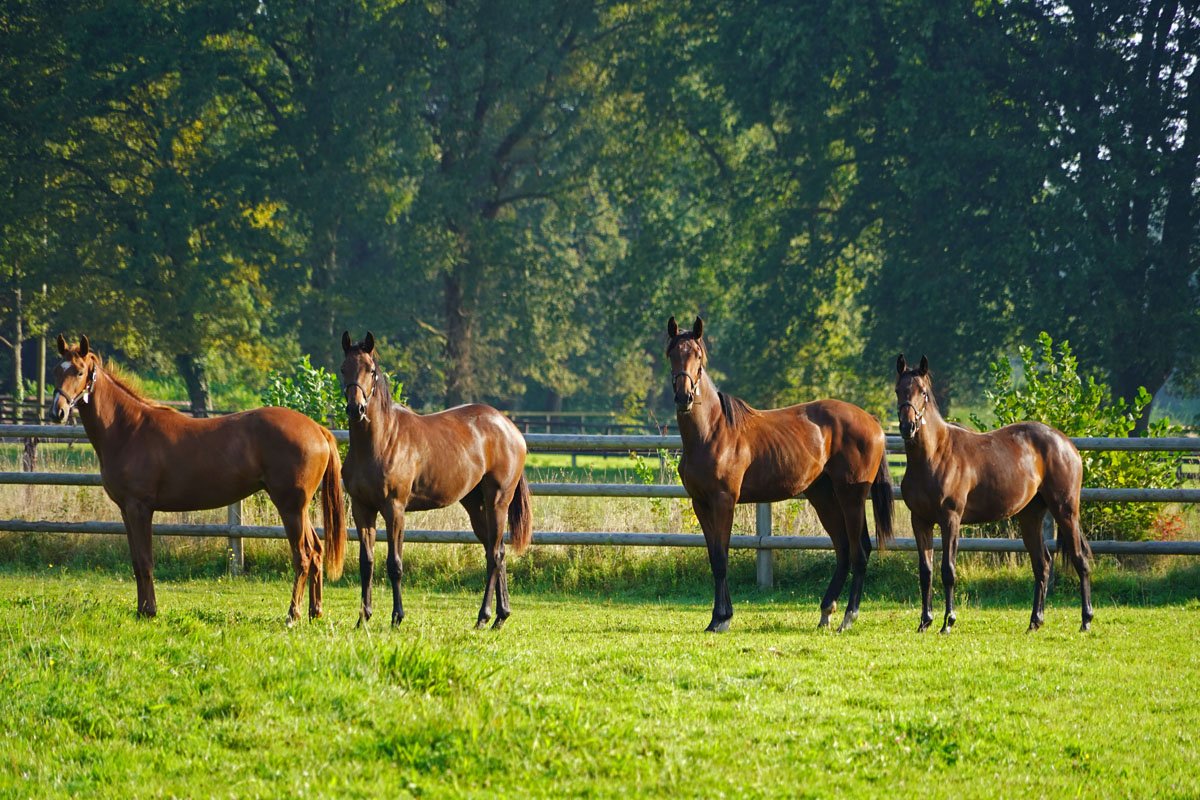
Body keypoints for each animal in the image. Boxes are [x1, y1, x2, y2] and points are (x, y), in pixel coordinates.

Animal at [49, 335, 346, 623]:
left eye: (79, 371)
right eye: (56, 371)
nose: (57, 412)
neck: (128, 429)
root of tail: (317, 429)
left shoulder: (139, 508)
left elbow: (145, 561)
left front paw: (149, 611)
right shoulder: (126, 510)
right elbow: (136, 562)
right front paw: (141, 609)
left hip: (290, 507)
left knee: (303, 556)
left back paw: (293, 615)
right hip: (299, 509)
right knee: (317, 552)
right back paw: (315, 611)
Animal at [339, 332, 532, 629]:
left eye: (371, 370)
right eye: (343, 369)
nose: (355, 408)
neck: (379, 442)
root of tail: (510, 428)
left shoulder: (394, 509)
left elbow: (394, 564)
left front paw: (397, 617)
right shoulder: (363, 509)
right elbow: (366, 562)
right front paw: (363, 618)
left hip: (497, 502)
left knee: (494, 555)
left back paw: (483, 616)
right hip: (475, 506)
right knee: (496, 549)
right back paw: (500, 615)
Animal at [666, 316, 894, 632]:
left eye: (698, 356)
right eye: (672, 354)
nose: (683, 396)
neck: (712, 431)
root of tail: (871, 421)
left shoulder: (724, 501)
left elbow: (722, 559)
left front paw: (722, 619)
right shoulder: (700, 503)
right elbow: (714, 559)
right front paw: (716, 618)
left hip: (851, 497)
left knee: (859, 552)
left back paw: (848, 617)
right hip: (824, 497)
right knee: (844, 550)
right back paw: (826, 612)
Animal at [894, 354, 1094, 632]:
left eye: (922, 392)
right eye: (898, 390)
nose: (908, 426)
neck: (934, 455)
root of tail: (1067, 444)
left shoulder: (950, 519)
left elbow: (948, 570)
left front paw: (948, 622)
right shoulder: (920, 520)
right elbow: (926, 572)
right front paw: (925, 622)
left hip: (1066, 511)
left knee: (1080, 559)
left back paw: (1086, 620)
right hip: (1030, 516)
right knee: (1042, 565)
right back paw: (1035, 621)